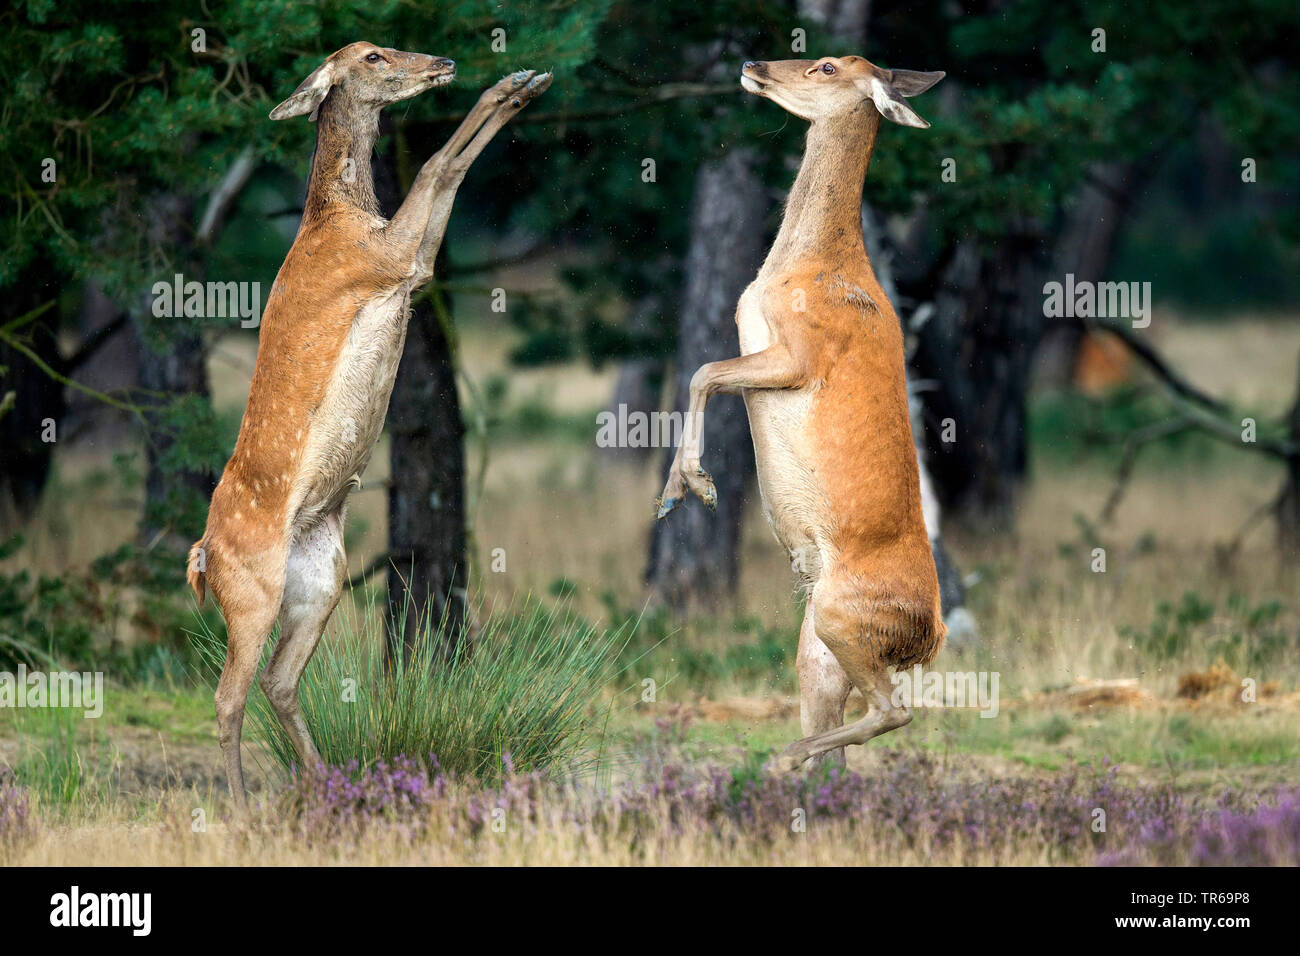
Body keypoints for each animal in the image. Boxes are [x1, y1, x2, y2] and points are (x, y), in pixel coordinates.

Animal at [184, 41, 548, 811]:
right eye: (373, 55)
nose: (439, 61)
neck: (344, 217)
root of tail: (200, 556)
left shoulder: (410, 266)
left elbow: (446, 173)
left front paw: (522, 84)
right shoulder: (385, 261)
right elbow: (438, 163)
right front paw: (515, 82)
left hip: (320, 579)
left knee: (278, 681)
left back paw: (329, 784)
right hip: (251, 590)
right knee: (228, 696)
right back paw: (241, 808)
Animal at [660, 54, 946, 770]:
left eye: (825, 66)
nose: (753, 63)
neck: (796, 268)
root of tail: (928, 636)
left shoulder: (801, 354)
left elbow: (704, 372)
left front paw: (691, 487)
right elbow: (704, 372)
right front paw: (682, 488)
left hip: (842, 617)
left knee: (892, 710)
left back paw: (784, 755)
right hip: (818, 640)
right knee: (842, 720)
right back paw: (800, 763)